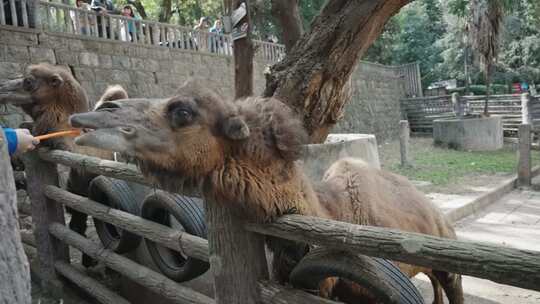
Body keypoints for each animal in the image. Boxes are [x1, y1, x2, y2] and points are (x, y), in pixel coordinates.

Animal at [68, 82, 464, 302]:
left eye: (182, 111)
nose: (99, 110)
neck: (331, 212)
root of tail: (437, 214)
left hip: (446, 260)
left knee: (450, 284)